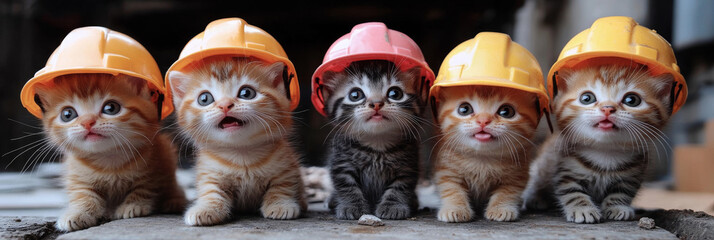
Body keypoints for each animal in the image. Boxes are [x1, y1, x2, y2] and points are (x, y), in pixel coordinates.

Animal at [33, 74, 185, 232]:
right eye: (67, 114)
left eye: (111, 108)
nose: (87, 122)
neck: (108, 159)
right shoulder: (77, 175)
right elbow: (82, 195)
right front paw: (77, 213)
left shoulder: (155, 169)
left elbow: (144, 189)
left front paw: (133, 205)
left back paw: (174, 201)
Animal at [168, 57, 306, 226]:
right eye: (204, 99)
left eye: (246, 93)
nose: (225, 105)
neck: (241, 152)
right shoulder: (209, 172)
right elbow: (211, 191)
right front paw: (206, 209)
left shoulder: (286, 166)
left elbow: (282, 186)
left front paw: (281, 205)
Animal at [322, 61, 426, 220]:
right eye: (355, 95)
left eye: (395, 93)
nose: (376, 103)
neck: (377, 141)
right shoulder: (341, 163)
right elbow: (347, 186)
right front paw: (352, 206)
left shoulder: (408, 166)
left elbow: (400, 186)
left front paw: (392, 206)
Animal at [432, 86, 536, 223]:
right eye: (464, 109)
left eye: (506, 111)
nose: (483, 121)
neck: (482, 158)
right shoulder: (446, 169)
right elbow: (451, 188)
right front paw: (455, 208)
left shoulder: (517, 174)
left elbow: (508, 192)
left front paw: (500, 209)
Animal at [520, 63, 672, 223]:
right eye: (587, 98)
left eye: (632, 100)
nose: (607, 108)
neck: (605, 151)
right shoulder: (566, 170)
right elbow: (572, 192)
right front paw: (583, 210)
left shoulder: (632, 175)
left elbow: (623, 191)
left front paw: (617, 207)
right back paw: (536, 198)